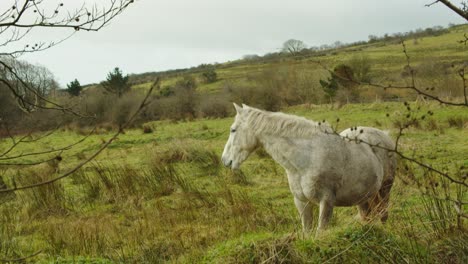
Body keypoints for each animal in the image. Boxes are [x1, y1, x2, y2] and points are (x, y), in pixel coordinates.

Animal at [222, 104, 394, 236]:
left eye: (233, 130)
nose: (225, 160)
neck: (306, 159)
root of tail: (385, 136)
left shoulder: (326, 201)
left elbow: (320, 232)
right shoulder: (301, 202)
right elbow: (307, 232)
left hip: (385, 189)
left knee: (383, 214)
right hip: (363, 197)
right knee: (367, 217)